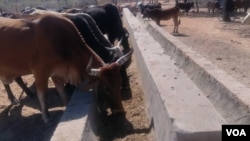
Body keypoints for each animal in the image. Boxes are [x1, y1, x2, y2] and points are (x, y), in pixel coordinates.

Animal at [0, 13, 133, 123]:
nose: (120, 111)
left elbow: (62, 90)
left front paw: (67, 103)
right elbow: (43, 94)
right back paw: (15, 98)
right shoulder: (40, 71)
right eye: (106, 88)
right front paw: (46, 117)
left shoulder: (56, 71)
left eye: (119, 81)